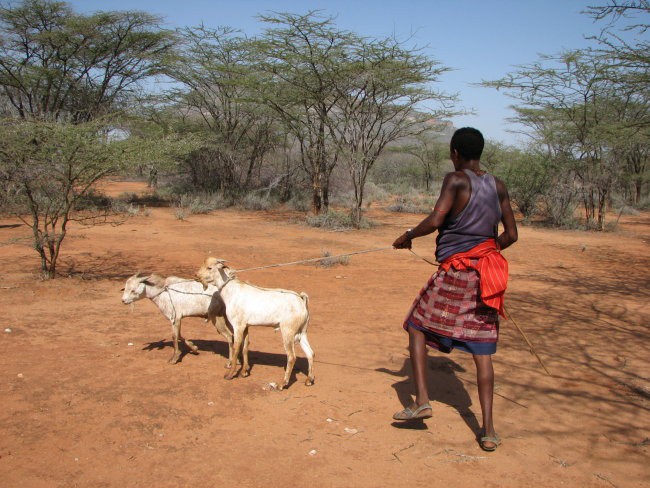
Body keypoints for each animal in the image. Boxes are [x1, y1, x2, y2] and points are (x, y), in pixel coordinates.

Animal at [196, 258, 312, 390]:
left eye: (209, 268)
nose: (197, 275)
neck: (232, 291)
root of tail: (301, 300)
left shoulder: (238, 326)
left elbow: (236, 347)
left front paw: (230, 374)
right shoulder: (246, 326)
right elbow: (245, 347)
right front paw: (244, 372)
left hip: (288, 331)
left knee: (292, 357)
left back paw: (282, 384)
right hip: (302, 332)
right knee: (310, 353)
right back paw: (309, 380)